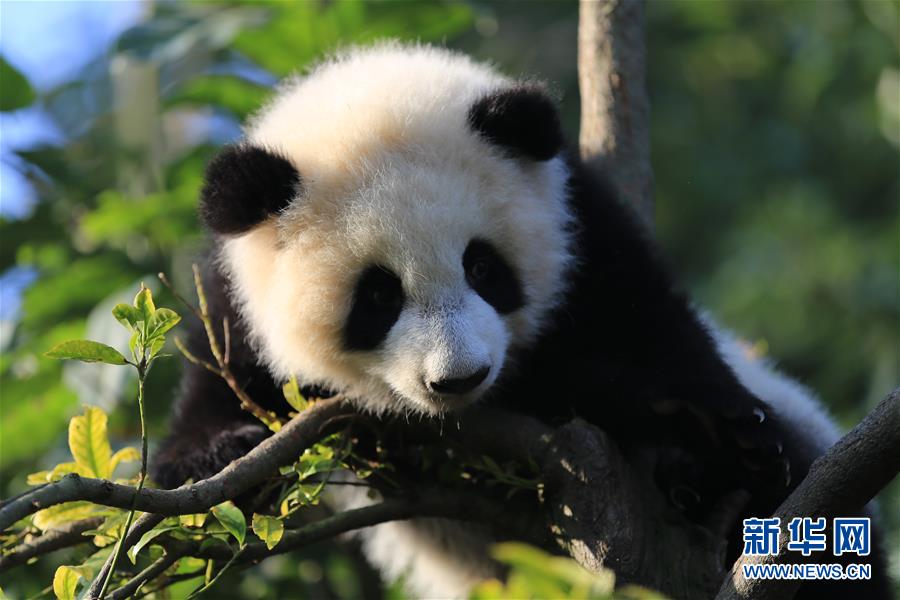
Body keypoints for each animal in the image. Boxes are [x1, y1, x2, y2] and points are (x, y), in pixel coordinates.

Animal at [153, 43, 891, 598]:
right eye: (379, 297)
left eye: (483, 267)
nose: (459, 379)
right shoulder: (233, 304)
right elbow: (208, 425)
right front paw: (220, 454)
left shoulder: (585, 229)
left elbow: (653, 333)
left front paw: (711, 427)